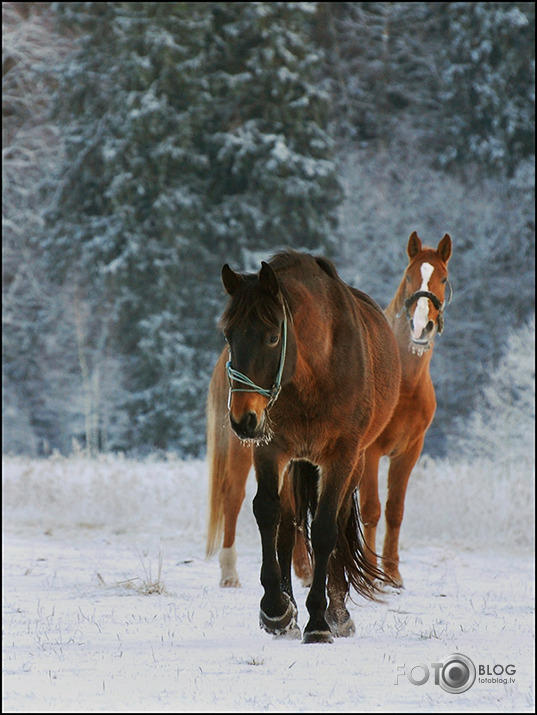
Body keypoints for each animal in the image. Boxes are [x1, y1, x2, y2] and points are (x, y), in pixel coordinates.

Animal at [207, 252, 400, 644]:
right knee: (288, 526)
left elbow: (326, 529)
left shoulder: (341, 456)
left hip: (351, 463)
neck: (318, 371)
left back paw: (337, 613)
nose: (242, 419)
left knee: (336, 524)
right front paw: (276, 610)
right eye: (228, 334)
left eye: (272, 336)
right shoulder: (272, 450)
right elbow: (269, 514)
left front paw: (320, 621)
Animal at [360, 231, 452, 588]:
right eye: (409, 275)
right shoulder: (370, 451)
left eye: (443, 278)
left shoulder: (409, 451)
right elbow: (371, 509)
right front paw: (371, 575)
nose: (421, 327)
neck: (405, 383)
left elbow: (395, 510)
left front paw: (392, 574)